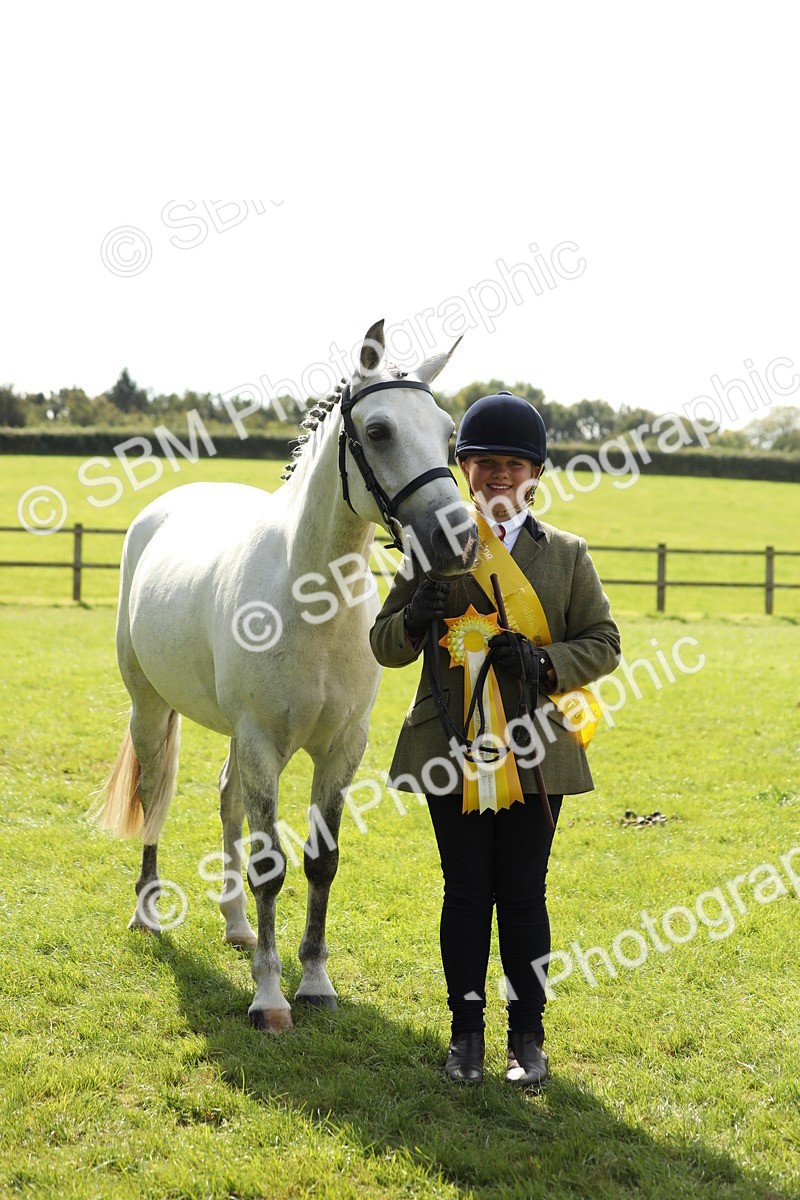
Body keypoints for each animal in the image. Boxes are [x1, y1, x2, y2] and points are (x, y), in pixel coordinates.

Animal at [94, 319, 478, 1032]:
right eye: (378, 431)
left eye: (448, 433)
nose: (456, 540)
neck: (311, 599)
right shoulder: (263, 743)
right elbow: (270, 865)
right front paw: (270, 998)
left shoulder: (340, 749)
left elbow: (320, 864)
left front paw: (315, 982)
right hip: (151, 710)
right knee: (155, 797)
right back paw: (147, 912)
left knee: (226, 800)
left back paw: (238, 927)